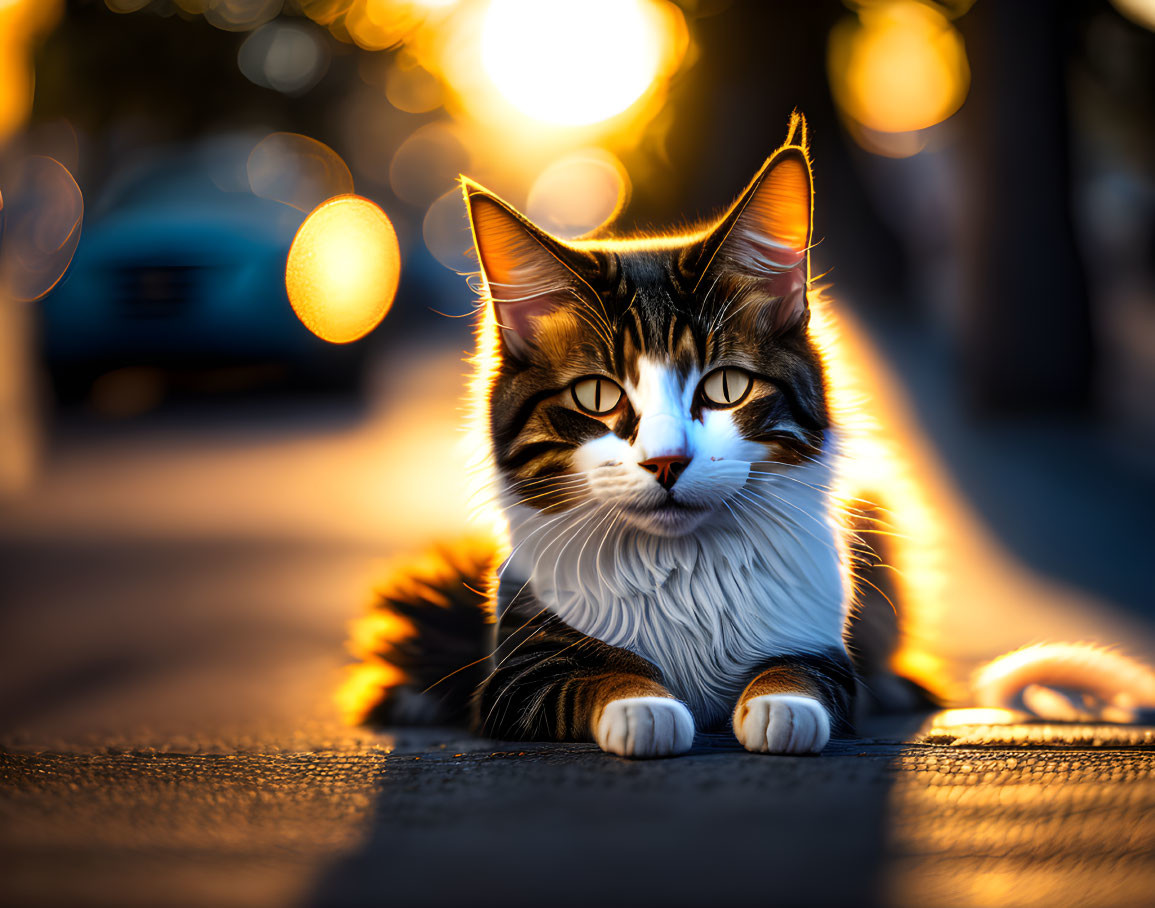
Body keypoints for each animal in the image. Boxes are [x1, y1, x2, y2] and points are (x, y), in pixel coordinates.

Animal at [339, 113, 1155, 753]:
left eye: (725, 387)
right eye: (597, 396)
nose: (666, 462)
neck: (683, 578)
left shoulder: (821, 645)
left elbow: (798, 673)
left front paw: (778, 709)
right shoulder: (518, 677)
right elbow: (603, 674)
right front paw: (646, 709)